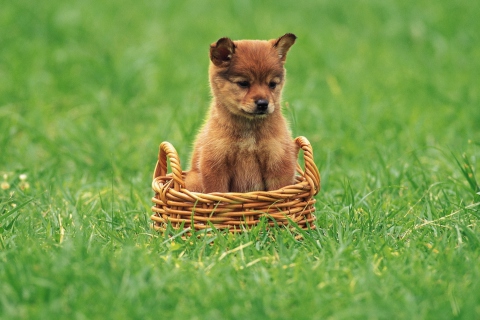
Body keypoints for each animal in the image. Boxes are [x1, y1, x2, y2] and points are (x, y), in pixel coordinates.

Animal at [186, 32, 298, 192]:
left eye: (272, 84)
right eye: (243, 83)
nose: (263, 104)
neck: (248, 130)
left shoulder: (278, 162)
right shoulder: (215, 164)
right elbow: (217, 192)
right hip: (193, 181)